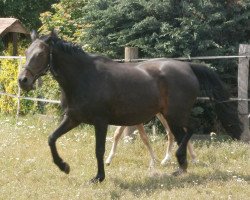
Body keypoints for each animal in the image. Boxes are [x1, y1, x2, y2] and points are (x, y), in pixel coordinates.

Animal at [19, 30, 242, 183]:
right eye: (27, 52)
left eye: (40, 54)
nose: (23, 81)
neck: (84, 77)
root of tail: (187, 66)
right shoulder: (73, 118)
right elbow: (51, 138)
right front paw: (64, 166)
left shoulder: (100, 122)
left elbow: (99, 149)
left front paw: (98, 177)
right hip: (170, 116)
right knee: (181, 135)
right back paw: (180, 168)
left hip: (174, 114)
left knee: (189, 130)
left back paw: (177, 162)